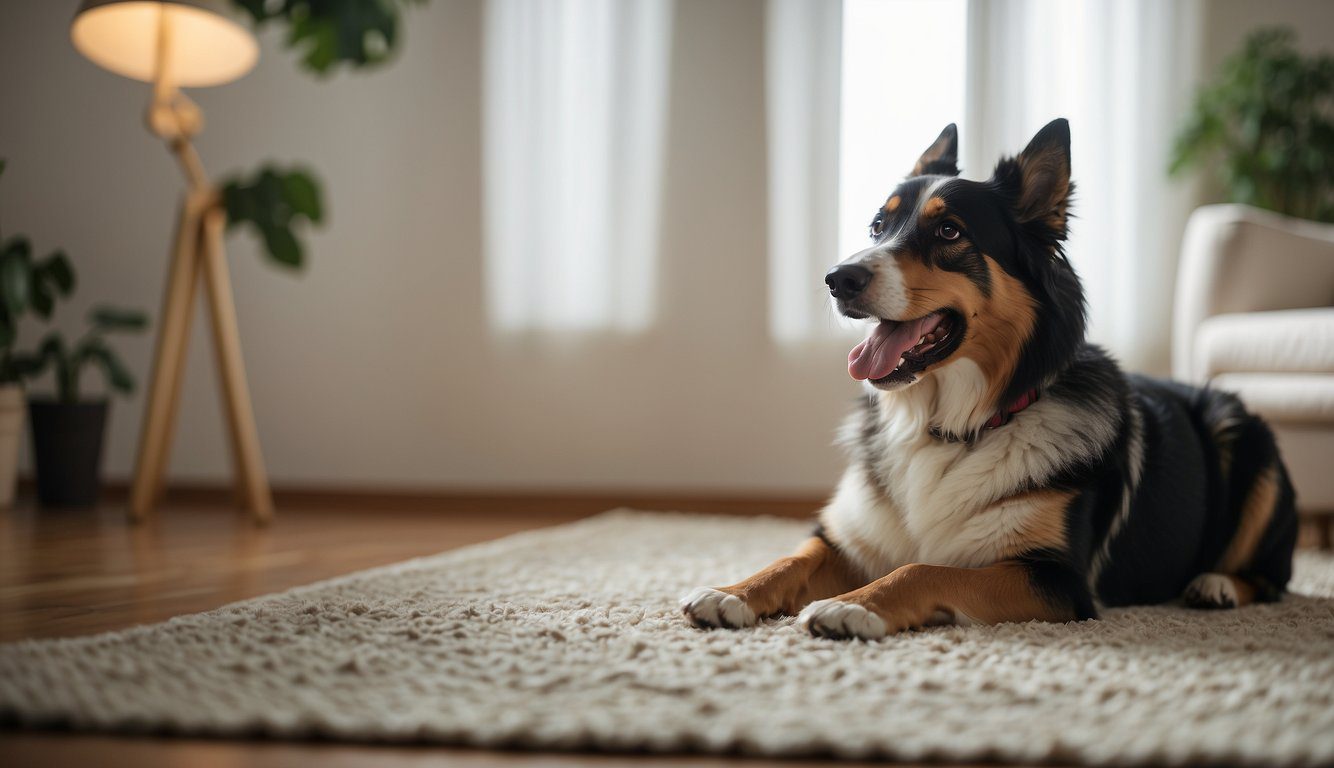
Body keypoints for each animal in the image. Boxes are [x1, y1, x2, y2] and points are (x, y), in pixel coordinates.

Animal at [683, 117, 1296, 640]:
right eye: (878, 226)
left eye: (949, 231)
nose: (838, 278)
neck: (948, 426)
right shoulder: (848, 537)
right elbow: (794, 556)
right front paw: (731, 591)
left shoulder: (1057, 581)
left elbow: (924, 569)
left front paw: (853, 606)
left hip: (1241, 435)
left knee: (1273, 578)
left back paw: (1216, 585)